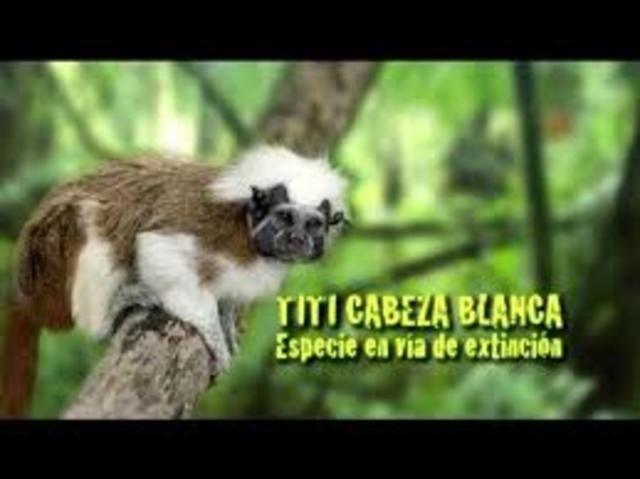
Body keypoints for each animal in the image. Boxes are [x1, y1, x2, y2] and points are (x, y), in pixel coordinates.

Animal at [0, 145, 348, 418]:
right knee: (87, 217)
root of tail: (24, 291)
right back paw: (109, 313)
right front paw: (214, 335)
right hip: (49, 267)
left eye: (313, 224)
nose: (297, 239)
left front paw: (227, 320)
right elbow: (157, 249)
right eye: (285, 218)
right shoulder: (212, 232)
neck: (248, 230)